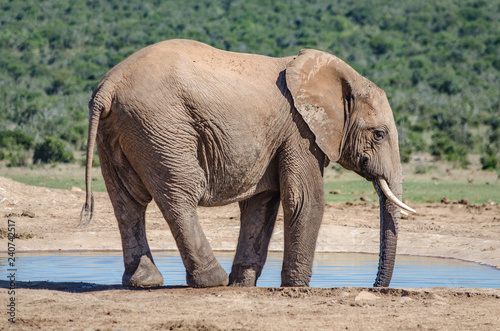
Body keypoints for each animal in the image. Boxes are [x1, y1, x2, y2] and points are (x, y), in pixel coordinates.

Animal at [82, 38, 416, 288]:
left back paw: (145, 282)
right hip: (161, 126)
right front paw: (295, 287)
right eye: (379, 134)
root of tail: (108, 87)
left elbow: (262, 203)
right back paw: (211, 281)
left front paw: (242, 285)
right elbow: (304, 199)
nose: (374, 285)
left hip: (119, 130)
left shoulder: (279, 137)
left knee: (127, 201)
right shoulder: (300, 130)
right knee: (178, 195)